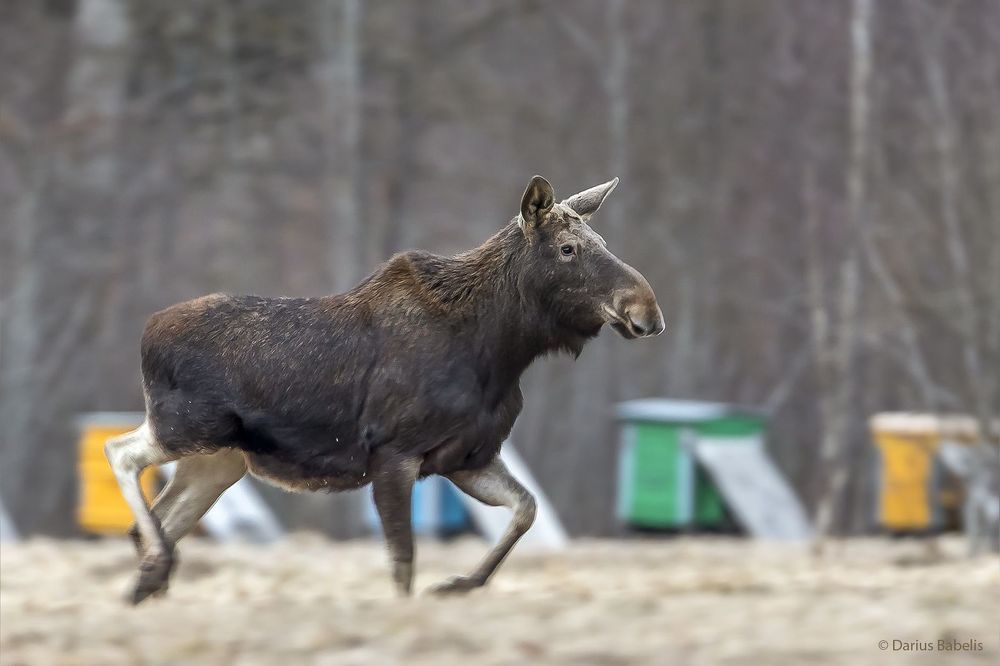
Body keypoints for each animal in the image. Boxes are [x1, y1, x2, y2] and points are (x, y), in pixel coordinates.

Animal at [106, 175, 664, 604]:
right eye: (568, 249)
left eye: (604, 243)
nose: (647, 311)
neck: (501, 352)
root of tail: (146, 334)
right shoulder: (395, 454)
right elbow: (403, 559)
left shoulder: (467, 456)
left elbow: (525, 510)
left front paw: (459, 585)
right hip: (186, 427)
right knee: (121, 453)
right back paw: (156, 567)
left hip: (218, 460)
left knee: (158, 517)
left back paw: (150, 584)